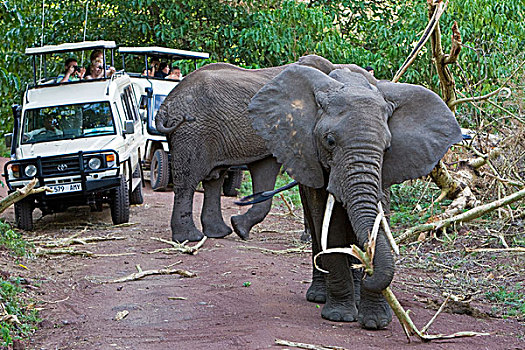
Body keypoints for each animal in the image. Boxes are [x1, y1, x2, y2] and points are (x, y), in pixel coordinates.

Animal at [248, 65, 460, 328]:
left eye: (387, 148)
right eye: (329, 141)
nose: (370, 274)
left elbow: (378, 217)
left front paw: (375, 323)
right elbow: (330, 226)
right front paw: (339, 316)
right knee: (317, 231)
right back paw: (320, 295)